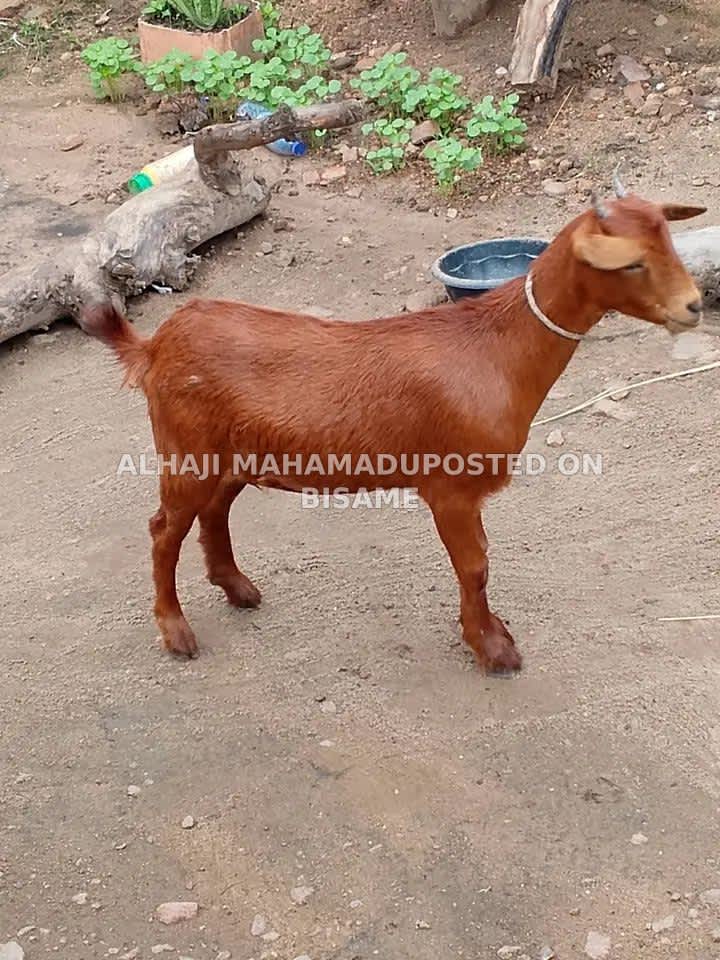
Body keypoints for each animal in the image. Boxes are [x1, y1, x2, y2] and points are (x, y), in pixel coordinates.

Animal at [81, 183, 705, 673]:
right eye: (631, 262)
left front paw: (491, 632)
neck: (498, 349)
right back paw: (176, 633)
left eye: (669, 243)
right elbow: (475, 566)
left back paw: (238, 589)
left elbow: (479, 563)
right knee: (164, 530)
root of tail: (155, 346)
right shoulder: (451, 487)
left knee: (214, 511)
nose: (694, 306)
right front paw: (492, 649)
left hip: (232, 455)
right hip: (184, 451)